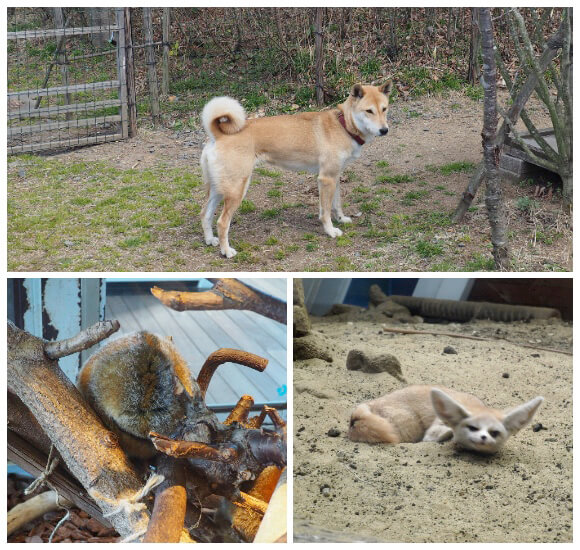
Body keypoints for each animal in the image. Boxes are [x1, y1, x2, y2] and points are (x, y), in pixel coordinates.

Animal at [199, 82, 394, 258]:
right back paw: (226, 251)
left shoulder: (335, 177)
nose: (384, 130)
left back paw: (210, 240)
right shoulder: (326, 179)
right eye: (369, 111)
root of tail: (218, 134)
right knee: (222, 222)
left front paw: (341, 219)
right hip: (237, 189)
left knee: (205, 214)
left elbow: (336, 204)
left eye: (384, 109)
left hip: (219, 189)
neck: (344, 125)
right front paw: (330, 231)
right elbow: (325, 212)